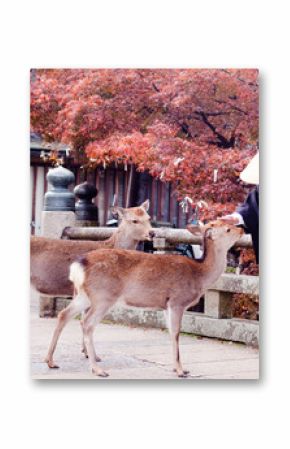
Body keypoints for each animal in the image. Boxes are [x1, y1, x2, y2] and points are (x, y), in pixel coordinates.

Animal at [45, 219, 244, 376]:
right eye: (227, 229)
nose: (242, 228)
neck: (200, 274)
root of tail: (78, 266)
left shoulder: (166, 305)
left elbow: (170, 332)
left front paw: (178, 368)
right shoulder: (177, 301)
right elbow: (176, 333)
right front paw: (181, 370)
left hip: (84, 295)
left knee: (64, 314)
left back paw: (50, 361)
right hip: (103, 296)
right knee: (86, 323)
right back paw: (98, 369)